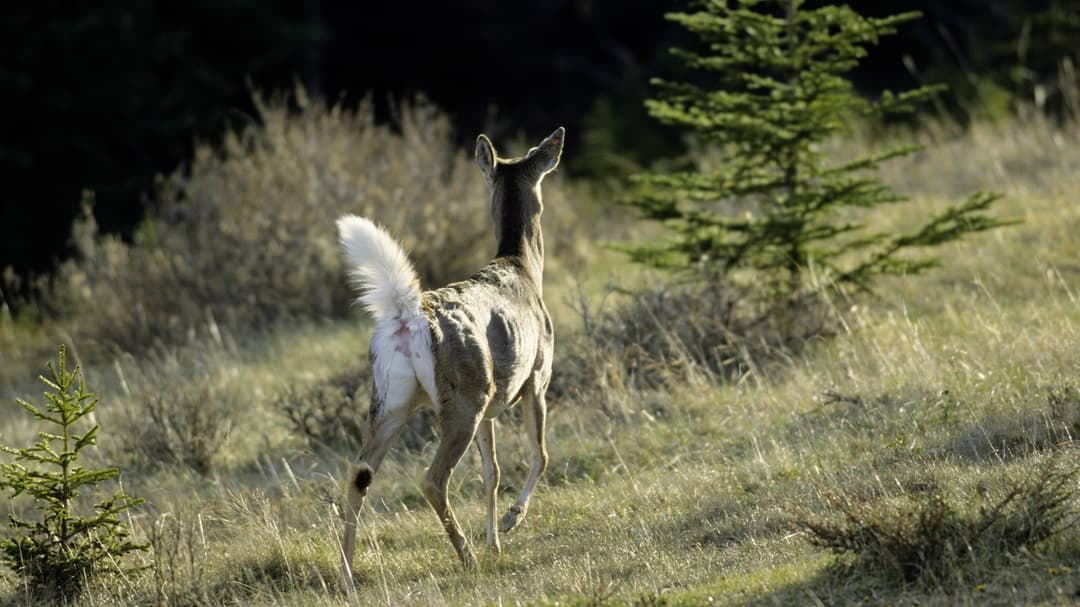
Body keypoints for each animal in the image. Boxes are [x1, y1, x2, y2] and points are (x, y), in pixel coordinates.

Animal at [332, 126, 561, 583]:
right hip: (462, 398)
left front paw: (495, 541)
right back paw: (467, 557)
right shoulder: (536, 377)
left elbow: (491, 473)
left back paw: (347, 574)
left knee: (358, 473)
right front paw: (511, 521)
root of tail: (407, 316)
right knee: (432, 479)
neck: (524, 269)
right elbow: (540, 455)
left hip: (391, 401)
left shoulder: (494, 403)